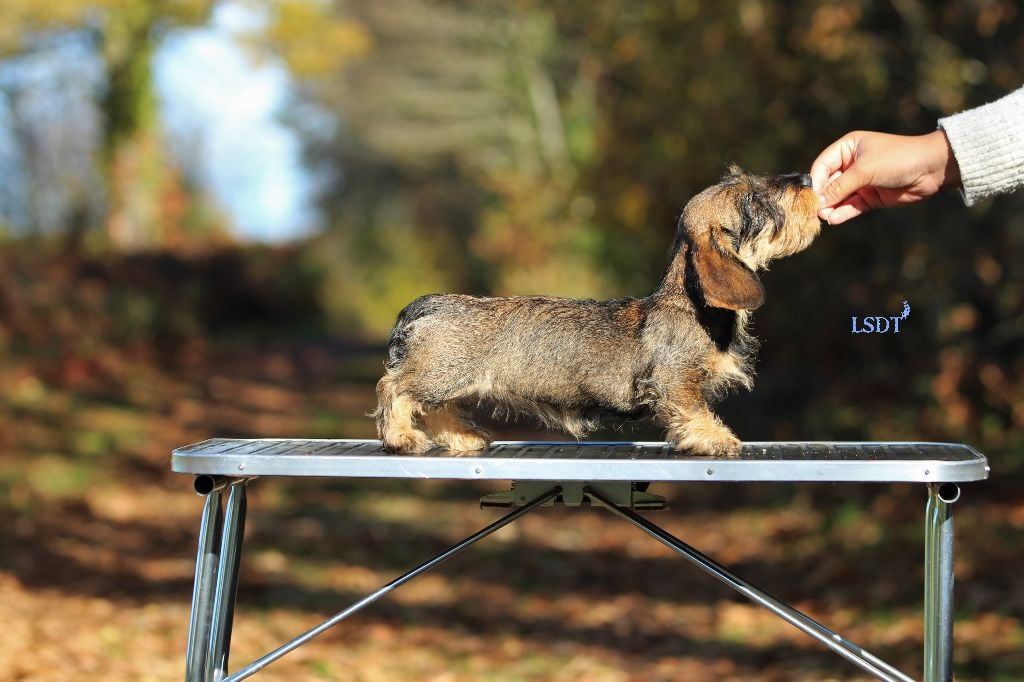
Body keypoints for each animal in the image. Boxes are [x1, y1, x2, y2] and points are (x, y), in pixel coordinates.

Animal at [376, 163, 823, 456]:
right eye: (752, 199)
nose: (806, 178)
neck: (693, 306)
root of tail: (428, 304)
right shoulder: (676, 381)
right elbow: (694, 410)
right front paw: (715, 437)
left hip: (451, 382)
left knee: (436, 409)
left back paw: (461, 437)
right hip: (440, 375)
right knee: (394, 388)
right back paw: (400, 437)